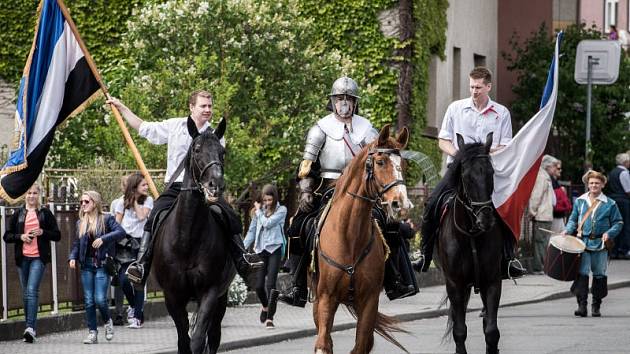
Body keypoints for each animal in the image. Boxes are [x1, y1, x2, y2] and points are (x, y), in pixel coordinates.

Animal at [152, 119, 236, 354]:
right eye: (197, 150)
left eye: (222, 152)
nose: (216, 185)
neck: (187, 238)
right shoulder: (172, 296)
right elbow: (183, 340)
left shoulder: (210, 292)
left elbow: (197, 340)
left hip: (222, 298)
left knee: (213, 336)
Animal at [314, 125, 412, 354]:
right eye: (380, 162)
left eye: (403, 164)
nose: (401, 205)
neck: (349, 236)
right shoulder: (326, 298)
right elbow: (323, 344)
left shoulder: (369, 301)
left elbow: (361, 344)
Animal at [436, 133, 506, 354]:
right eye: (466, 176)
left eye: (491, 173)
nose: (485, 219)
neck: (471, 235)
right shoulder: (455, 284)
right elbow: (459, 330)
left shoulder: (492, 282)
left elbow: (491, 331)